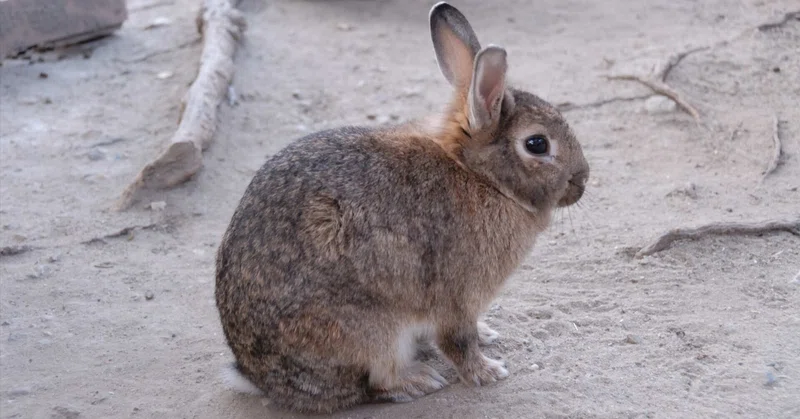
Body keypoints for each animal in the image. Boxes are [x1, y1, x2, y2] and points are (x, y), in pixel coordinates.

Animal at [215, 1, 589, 414]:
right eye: (537, 144)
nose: (583, 180)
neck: (479, 176)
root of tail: (261, 379)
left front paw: (488, 333)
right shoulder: (456, 298)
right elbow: (458, 342)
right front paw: (488, 372)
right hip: (374, 330)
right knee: (378, 381)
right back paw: (419, 380)